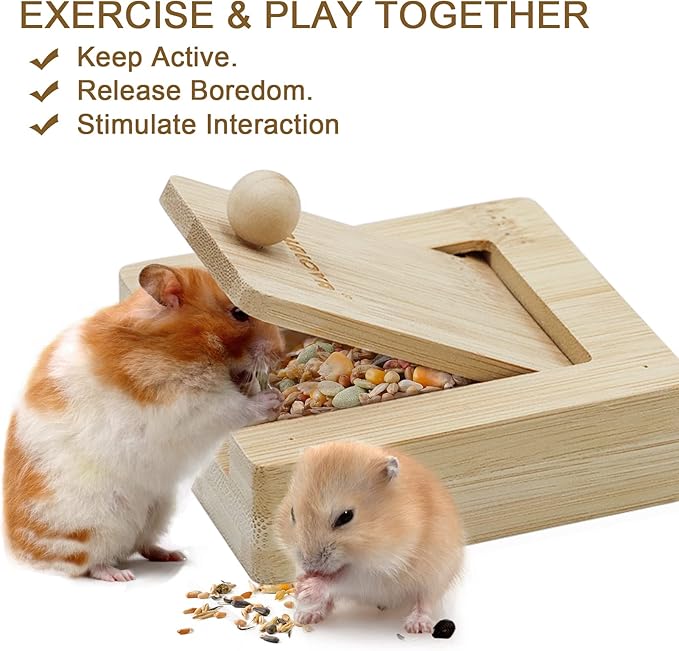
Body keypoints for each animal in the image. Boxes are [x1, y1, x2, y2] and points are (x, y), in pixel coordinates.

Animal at [3, 264, 283, 582]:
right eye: (239, 313)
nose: (280, 351)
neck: (179, 346)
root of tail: (20, 554)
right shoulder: (191, 408)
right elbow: (234, 408)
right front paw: (274, 399)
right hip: (95, 525)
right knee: (90, 564)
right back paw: (120, 575)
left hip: (159, 508)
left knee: (142, 544)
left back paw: (173, 555)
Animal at [275, 440, 464, 634]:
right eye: (292, 514)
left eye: (345, 516)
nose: (310, 567)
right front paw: (300, 583)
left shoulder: (377, 573)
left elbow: (340, 580)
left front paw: (306, 588)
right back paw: (307, 615)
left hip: (437, 575)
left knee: (425, 600)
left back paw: (416, 626)